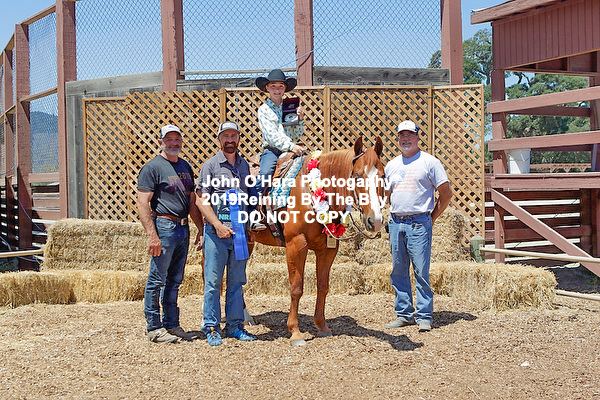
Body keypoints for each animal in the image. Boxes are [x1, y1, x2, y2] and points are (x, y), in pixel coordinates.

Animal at [254, 136, 385, 346]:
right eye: (357, 176)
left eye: (382, 175)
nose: (376, 220)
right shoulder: (296, 245)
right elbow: (296, 288)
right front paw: (295, 332)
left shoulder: (327, 249)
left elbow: (323, 287)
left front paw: (322, 326)